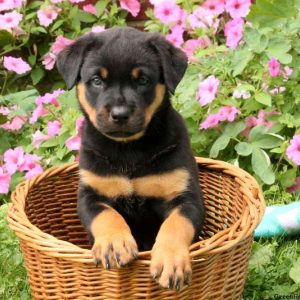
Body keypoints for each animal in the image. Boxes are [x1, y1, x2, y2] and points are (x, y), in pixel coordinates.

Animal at [56, 26, 204, 290]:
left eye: (143, 80)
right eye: (97, 80)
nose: (120, 114)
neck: (129, 149)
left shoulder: (187, 198)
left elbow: (175, 224)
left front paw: (170, 261)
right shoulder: (91, 194)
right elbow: (106, 215)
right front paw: (114, 244)